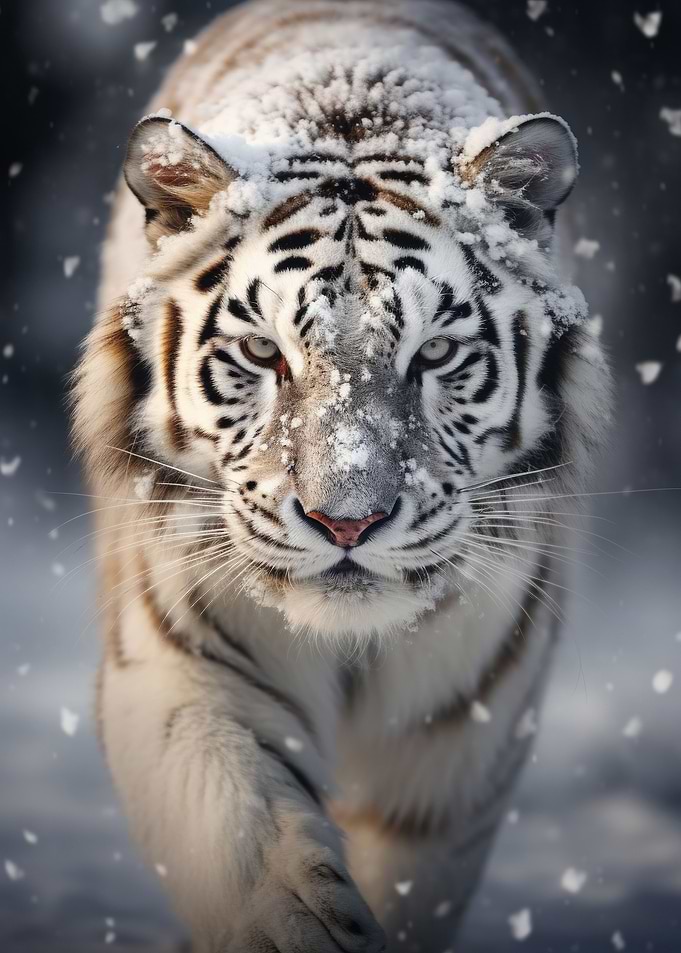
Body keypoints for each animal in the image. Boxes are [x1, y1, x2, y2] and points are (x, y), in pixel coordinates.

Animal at [72, 0, 612, 950]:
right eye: (262, 353)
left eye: (433, 354)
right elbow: (247, 835)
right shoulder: (180, 669)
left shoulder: (460, 738)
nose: (347, 522)